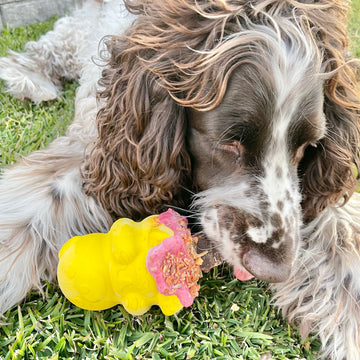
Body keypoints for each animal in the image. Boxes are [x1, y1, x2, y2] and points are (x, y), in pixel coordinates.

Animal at [0, 0, 360, 358]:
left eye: (307, 146)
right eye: (229, 141)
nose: (273, 269)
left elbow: (339, 226)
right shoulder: (105, 146)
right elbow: (43, 196)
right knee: (47, 47)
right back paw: (31, 80)